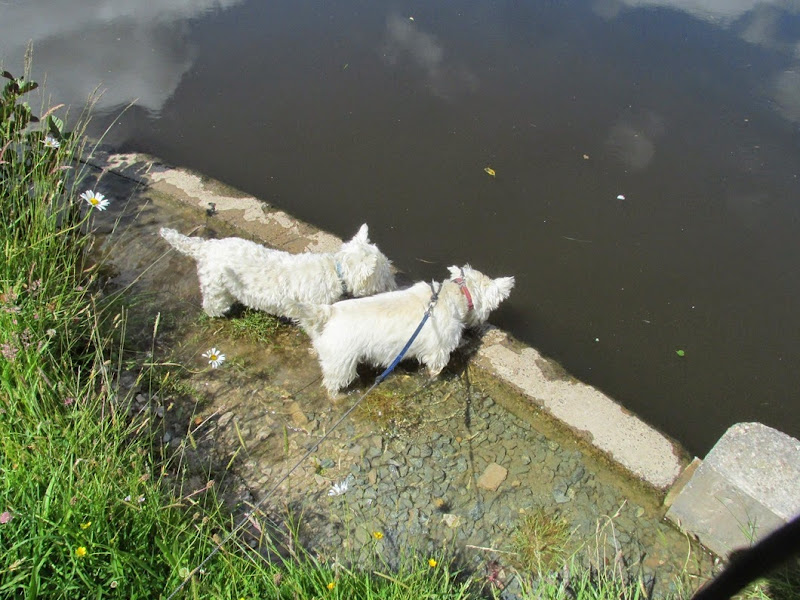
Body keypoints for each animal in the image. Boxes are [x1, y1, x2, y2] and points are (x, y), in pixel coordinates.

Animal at [158, 224, 396, 318]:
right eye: (386, 275)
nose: (395, 286)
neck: (336, 272)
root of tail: (205, 248)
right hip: (216, 289)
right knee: (212, 304)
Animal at [290, 264, 516, 396]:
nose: (481, 321)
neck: (455, 293)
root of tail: (329, 313)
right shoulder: (439, 351)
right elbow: (435, 370)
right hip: (342, 363)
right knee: (332, 384)